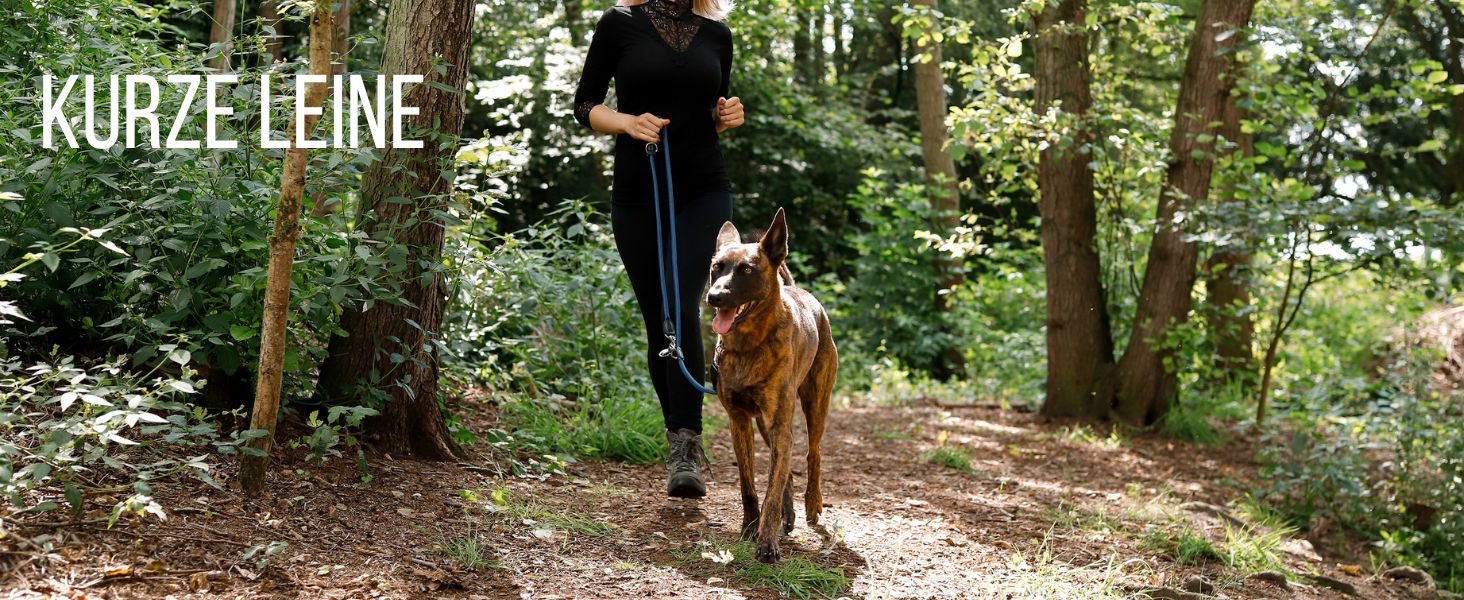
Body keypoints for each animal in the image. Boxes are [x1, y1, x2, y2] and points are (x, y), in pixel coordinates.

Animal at [705, 206, 837, 561]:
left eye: (746, 270)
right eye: (716, 267)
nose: (714, 296)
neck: (749, 344)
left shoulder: (779, 423)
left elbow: (772, 489)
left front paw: (766, 542)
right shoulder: (739, 421)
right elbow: (750, 485)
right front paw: (750, 528)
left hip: (814, 404)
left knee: (813, 455)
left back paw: (811, 504)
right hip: (767, 424)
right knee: (787, 470)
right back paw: (787, 514)